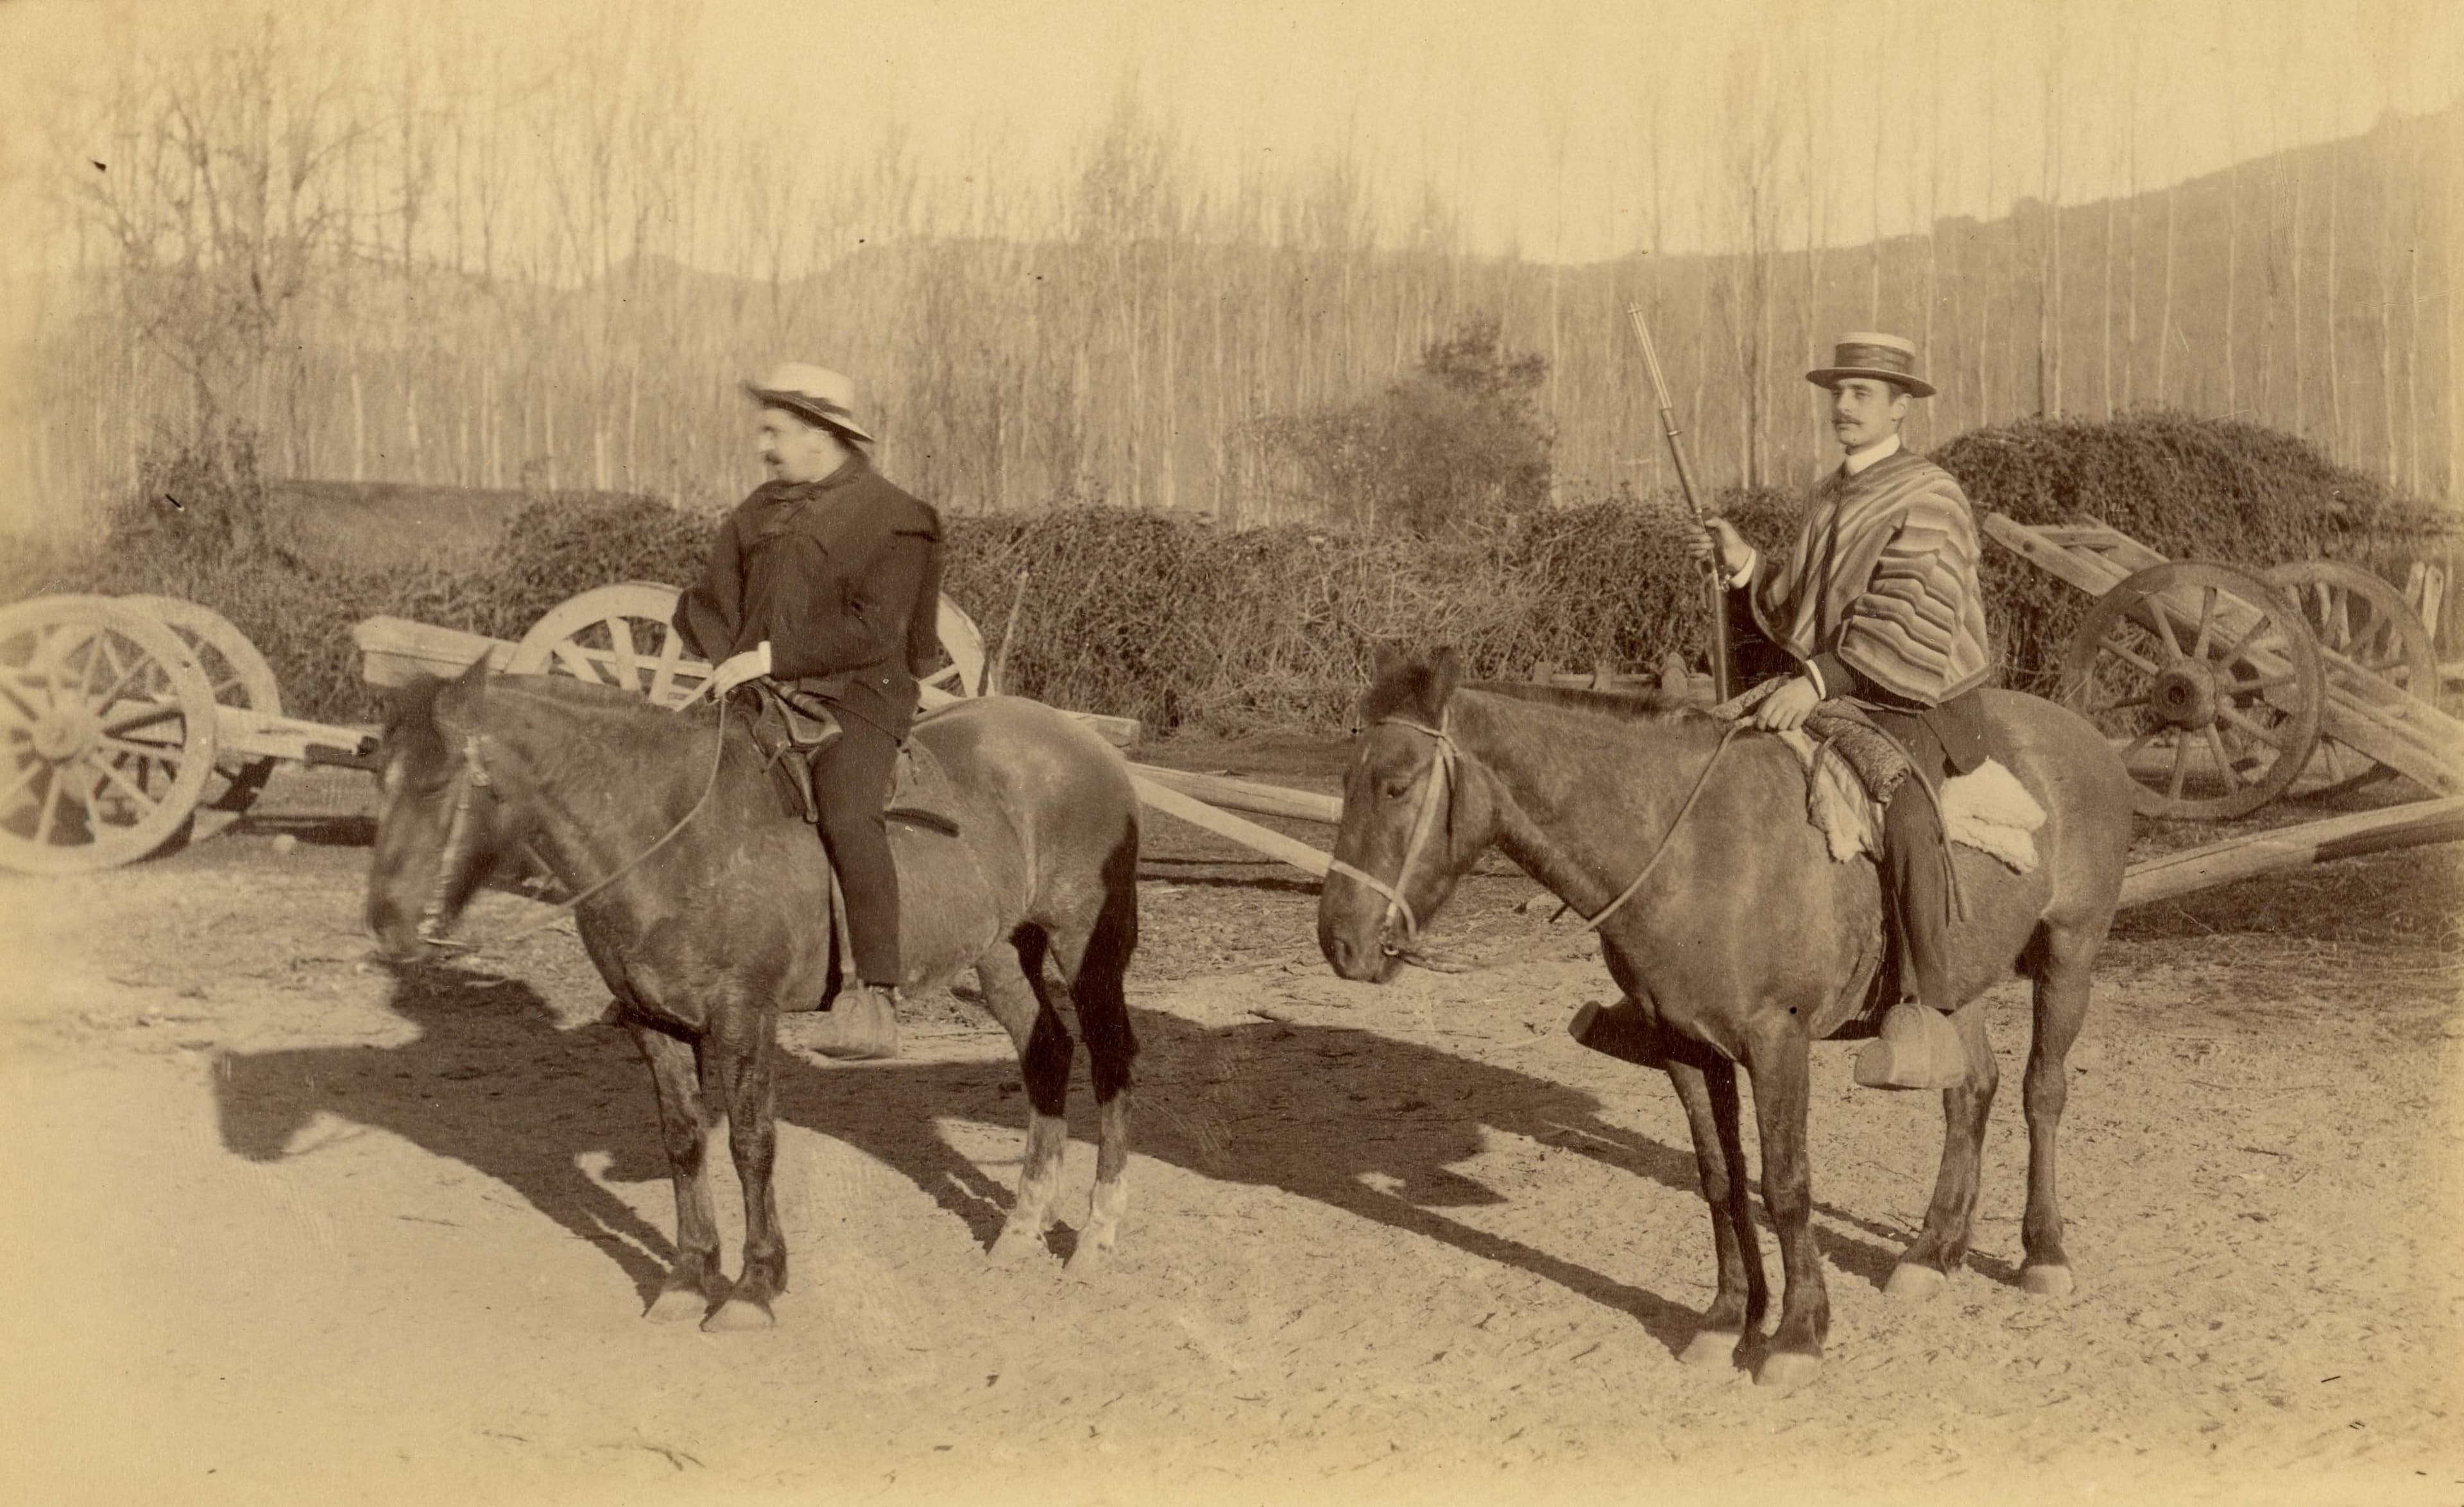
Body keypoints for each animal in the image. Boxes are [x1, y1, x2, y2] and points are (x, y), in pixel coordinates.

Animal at [365, 662, 1142, 1331]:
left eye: (436, 784)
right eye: (380, 778)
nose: (387, 924)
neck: (670, 831)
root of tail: (1086, 742)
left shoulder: (744, 1015)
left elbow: (750, 1144)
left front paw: (755, 1286)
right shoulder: (653, 1022)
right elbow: (684, 1143)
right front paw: (688, 1277)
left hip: (1086, 946)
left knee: (1110, 1061)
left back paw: (1096, 1235)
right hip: (1003, 952)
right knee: (1046, 1052)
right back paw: (1020, 1229)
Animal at [1318, 646, 2135, 1390]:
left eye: (1396, 785)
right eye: (1346, 783)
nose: (1340, 941)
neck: (1693, 850)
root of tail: (2089, 739)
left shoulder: (1778, 1042)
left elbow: (1786, 1183)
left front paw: (1798, 1334)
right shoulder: (1685, 1044)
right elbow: (1721, 1177)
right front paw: (1729, 1319)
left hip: (2070, 953)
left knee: (2041, 1093)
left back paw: (2043, 1253)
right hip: (1957, 979)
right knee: (1971, 1093)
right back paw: (1933, 1252)